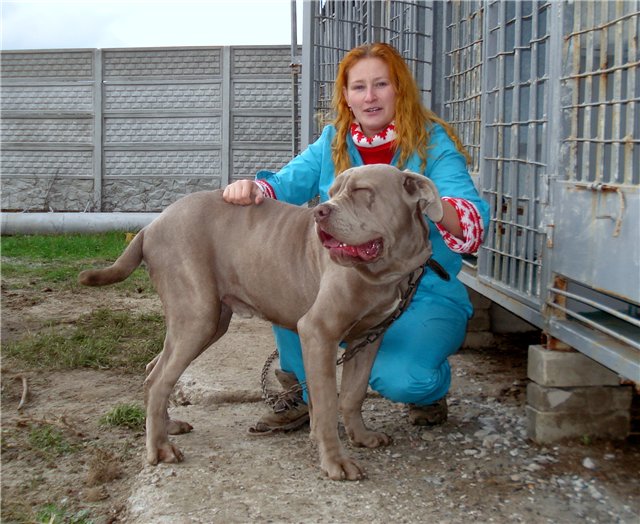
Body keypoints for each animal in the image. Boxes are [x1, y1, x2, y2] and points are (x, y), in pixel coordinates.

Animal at [79, 164, 443, 480]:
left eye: (362, 191)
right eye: (331, 192)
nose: (320, 212)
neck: (385, 271)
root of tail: (151, 225)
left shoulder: (368, 338)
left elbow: (353, 394)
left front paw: (361, 436)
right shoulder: (319, 331)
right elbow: (327, 403)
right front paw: (335, 461)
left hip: (208, 322)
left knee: (154, 369)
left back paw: (166, 426)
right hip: (197, 316)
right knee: (158, 380)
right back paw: (159, 448)